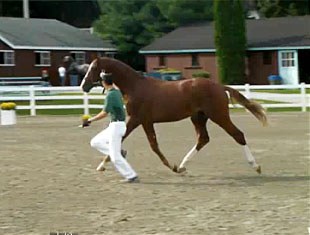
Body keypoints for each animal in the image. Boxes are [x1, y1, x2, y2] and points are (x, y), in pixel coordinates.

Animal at [81, 57, 268, 174]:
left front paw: (101, 165)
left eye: (93, 69)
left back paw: (256, 166)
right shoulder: (146, 121)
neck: (135, 86)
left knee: (238, 135)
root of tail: (220, 87)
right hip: (198, 117)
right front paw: (173, 166)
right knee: (203, 139)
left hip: (218, 116)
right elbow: (153, 145)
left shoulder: (136, 119)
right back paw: (182, 166)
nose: (83, 86)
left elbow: (145, 144)